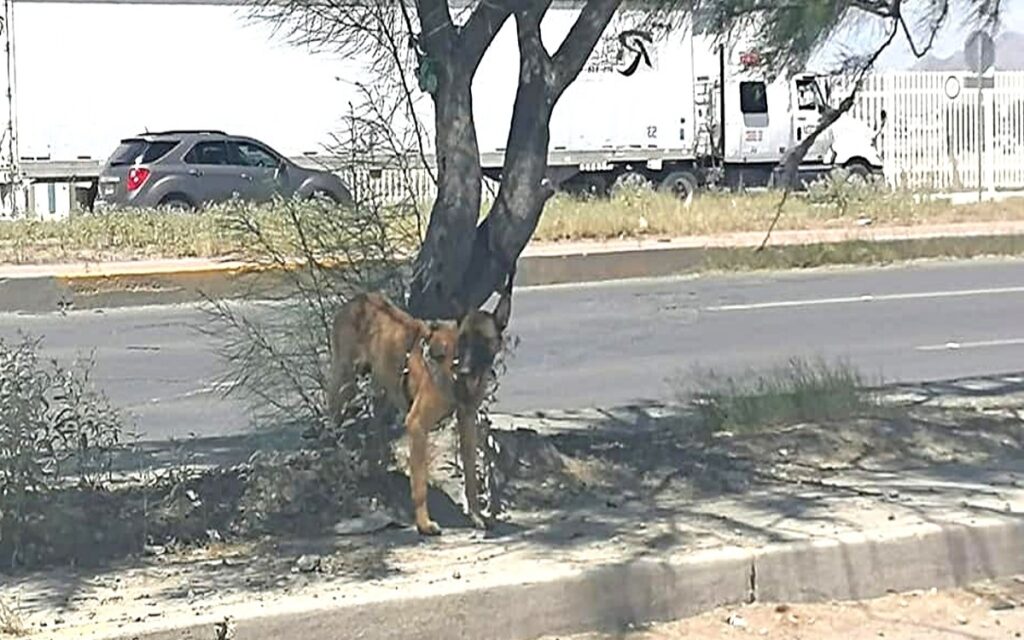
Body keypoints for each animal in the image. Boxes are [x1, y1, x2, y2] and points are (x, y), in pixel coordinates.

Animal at [327, 278, 512, 532]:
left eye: (482, 341)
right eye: (463, 340)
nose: (464, 370)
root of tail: (358, 300)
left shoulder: (466, 423)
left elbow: (471, 478)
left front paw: (476, 515)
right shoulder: (416, 425)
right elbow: (420, 485)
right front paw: (424, 524)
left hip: (381, 394)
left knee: (374, 434)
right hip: (345, 383)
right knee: (334, 420)